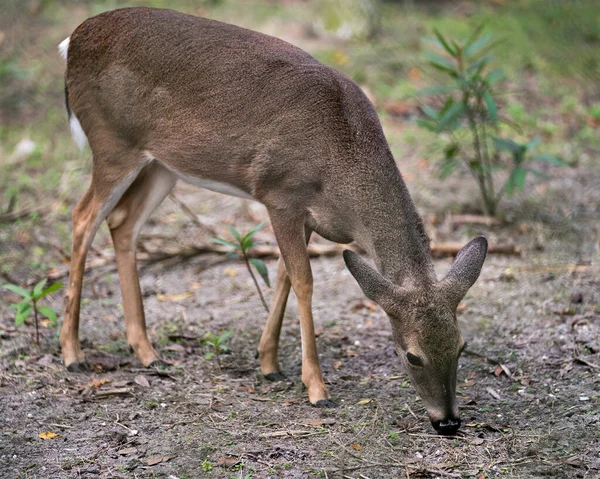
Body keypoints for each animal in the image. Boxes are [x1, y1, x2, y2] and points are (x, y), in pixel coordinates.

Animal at [57, 6, 488, 436]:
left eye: (461, 346)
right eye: (412, 356)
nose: (448, 421)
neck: (341, 166)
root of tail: (72, 41)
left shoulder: (310, 217)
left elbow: (283, 274)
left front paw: (269, 363)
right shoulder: (279, 195)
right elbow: (304, 280)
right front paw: (316, 387)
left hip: (162, 164)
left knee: (123, 222)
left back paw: (147, 351)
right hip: (112, 143)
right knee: (83, 217)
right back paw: (72, 353)